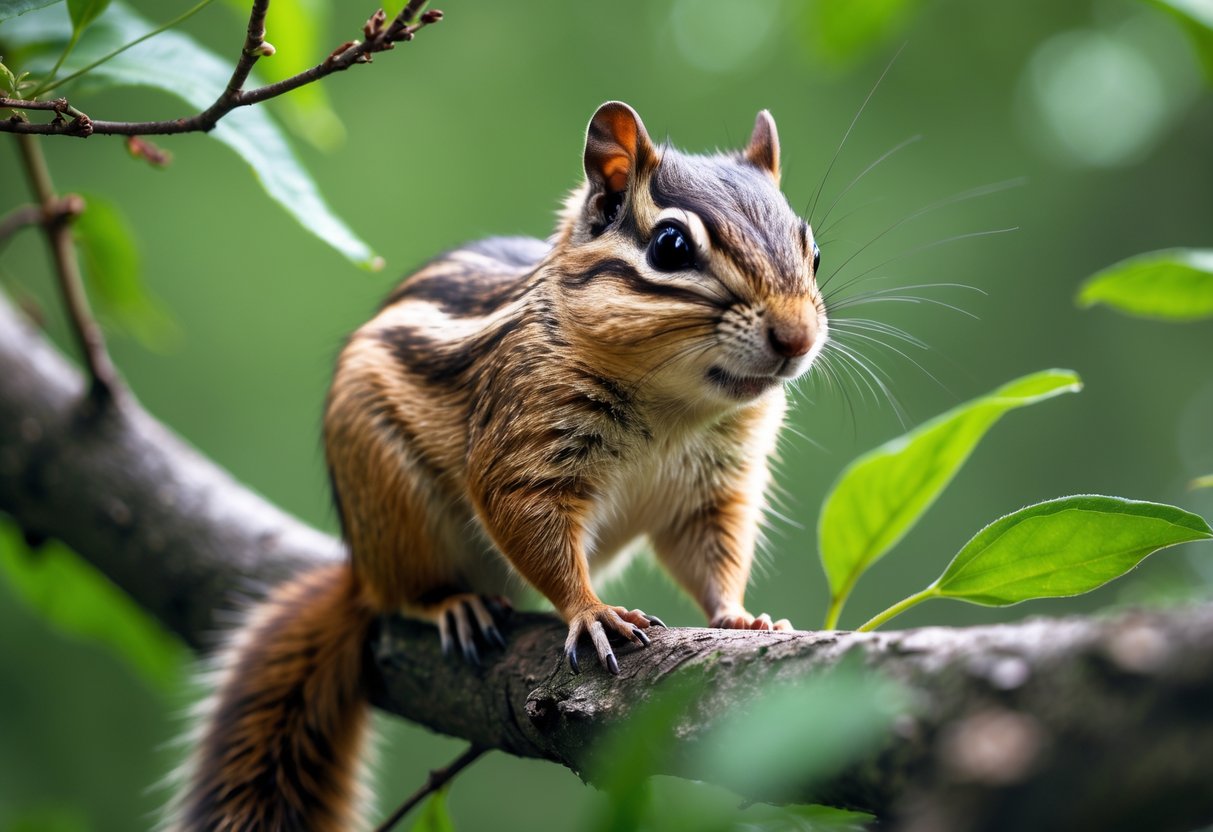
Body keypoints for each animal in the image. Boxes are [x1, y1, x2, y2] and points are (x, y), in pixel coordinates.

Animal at [171, 101, 827, 831]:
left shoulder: (716, 488)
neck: (674, 407)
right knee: (403, 595)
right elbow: (530, 525)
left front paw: (741, 617)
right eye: (670, 247)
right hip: (392, 511)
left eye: (812, 251)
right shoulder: (524, 449)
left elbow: (712, 555)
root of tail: (357, 572)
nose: (797, 338)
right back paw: (450, 603)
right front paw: (591, 611)